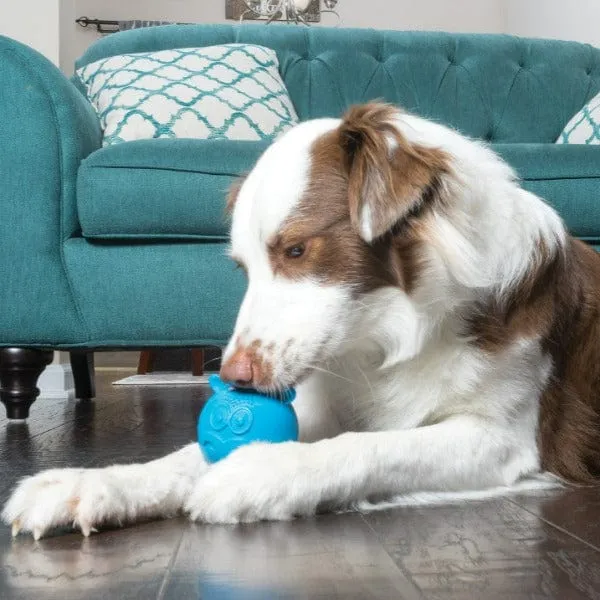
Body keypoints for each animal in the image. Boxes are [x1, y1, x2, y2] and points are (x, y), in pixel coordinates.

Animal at [1, 103, 600, 540]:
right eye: (242, 267)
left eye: (295, 250)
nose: (236, 378)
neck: (388, 338)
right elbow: (185, 456)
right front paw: (88, 483)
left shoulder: (505, 440)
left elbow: (370, 446)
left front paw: (259, 472)